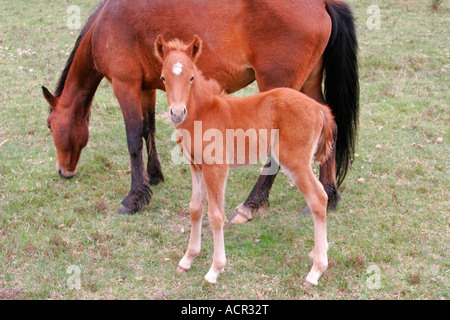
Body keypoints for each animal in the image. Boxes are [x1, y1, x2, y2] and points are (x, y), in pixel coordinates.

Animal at [155, 36, 334, 286]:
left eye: (191, 77)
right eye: (163, 77)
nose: (177, 112)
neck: (203, 113)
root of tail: (319, 109)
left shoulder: (216, 167)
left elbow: (216, 216)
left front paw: (215, 270)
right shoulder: (196, 167)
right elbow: (195, 209)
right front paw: (187, 260)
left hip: (295, 161)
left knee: (317, 198)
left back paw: (316, 271)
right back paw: (319, 252)